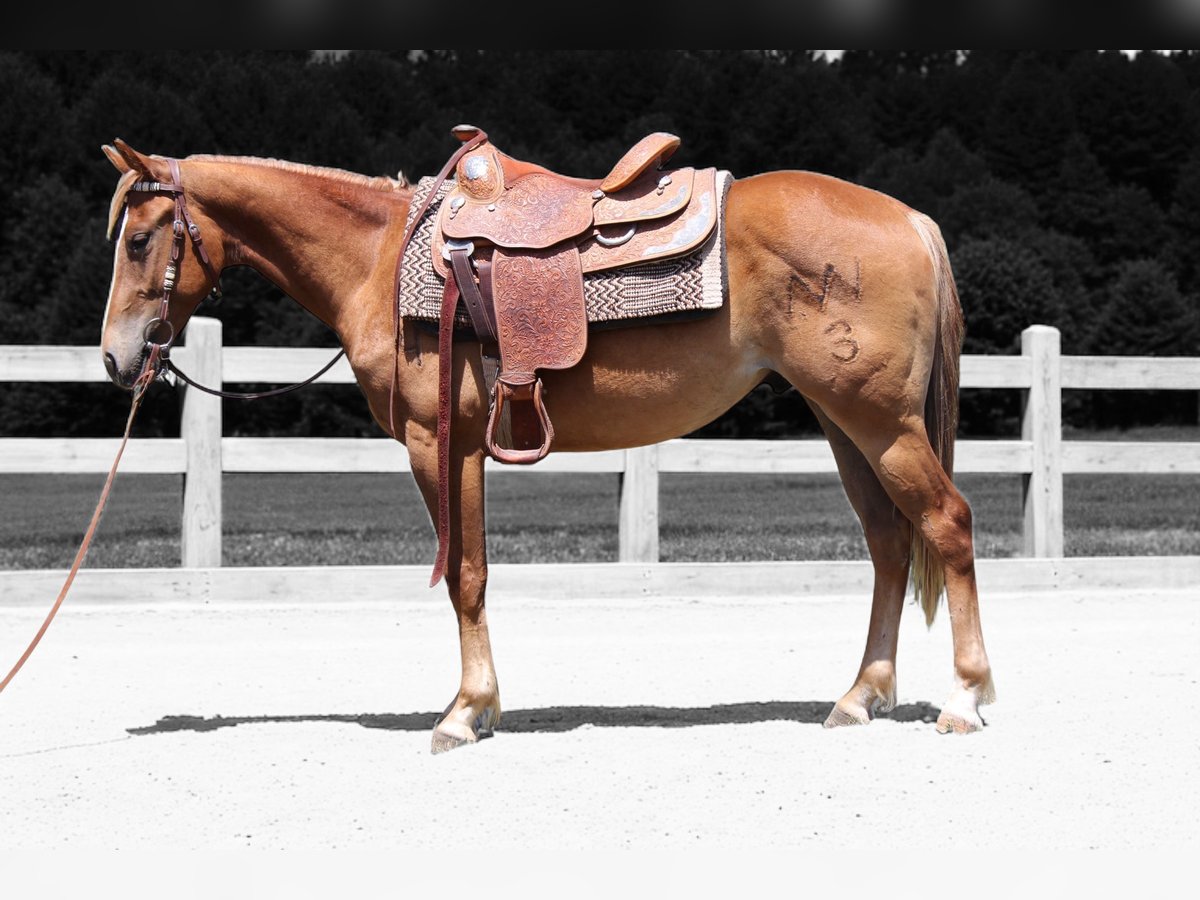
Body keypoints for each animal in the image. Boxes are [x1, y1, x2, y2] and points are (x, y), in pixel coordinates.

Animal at [98, 135, 995, 752]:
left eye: (141, 240)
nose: (115, 357)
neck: (380, 259)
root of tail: (910, 219)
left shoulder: (441, 444)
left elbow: (465, 576)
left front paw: (466, 712)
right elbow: (473, 575)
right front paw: (479, 705)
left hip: (877, 420)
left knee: (947, 524)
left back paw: (964, 697)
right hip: (844, 421)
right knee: (889, 543)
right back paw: (860, 695)